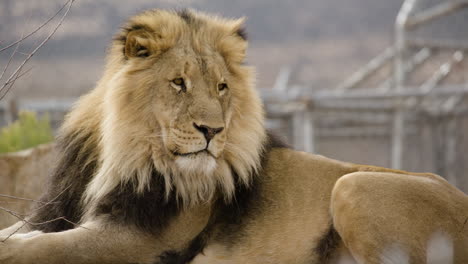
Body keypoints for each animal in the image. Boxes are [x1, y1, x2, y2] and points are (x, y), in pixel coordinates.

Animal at [0, 8, 468, 264]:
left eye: (222, 87)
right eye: (179, 83)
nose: (212, 130)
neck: (122, 151)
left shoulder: (137, 240)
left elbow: (45, 248)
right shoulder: (58, 209)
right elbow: (26, 233)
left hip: (352, 186)